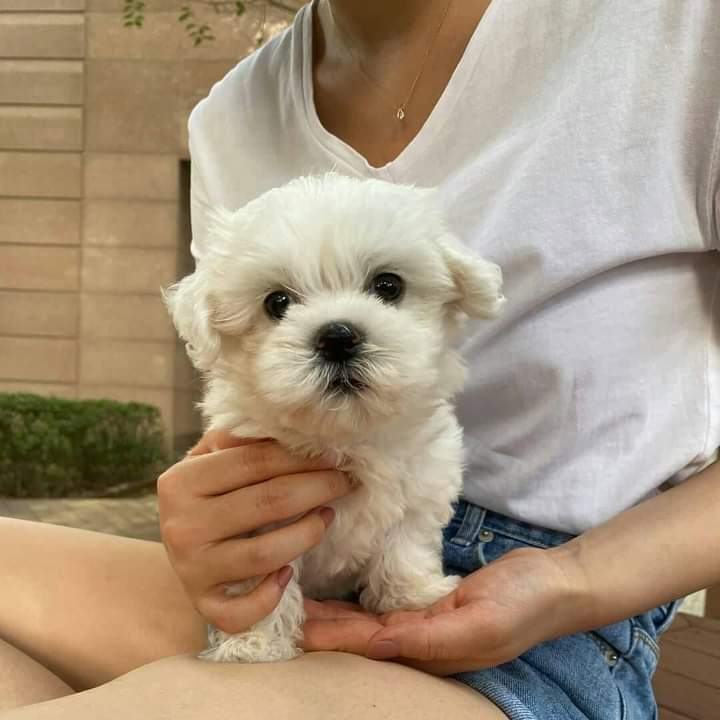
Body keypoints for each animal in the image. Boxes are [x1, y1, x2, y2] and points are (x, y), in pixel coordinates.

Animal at [167, 172, 506, 660]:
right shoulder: (254, 526)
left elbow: (405, 543)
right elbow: (265, 582)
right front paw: (254, 643)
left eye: (388, 286)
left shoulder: (421, 483)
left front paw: (411, 595)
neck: (346, 431)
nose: (338, 337)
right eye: (276, 302)